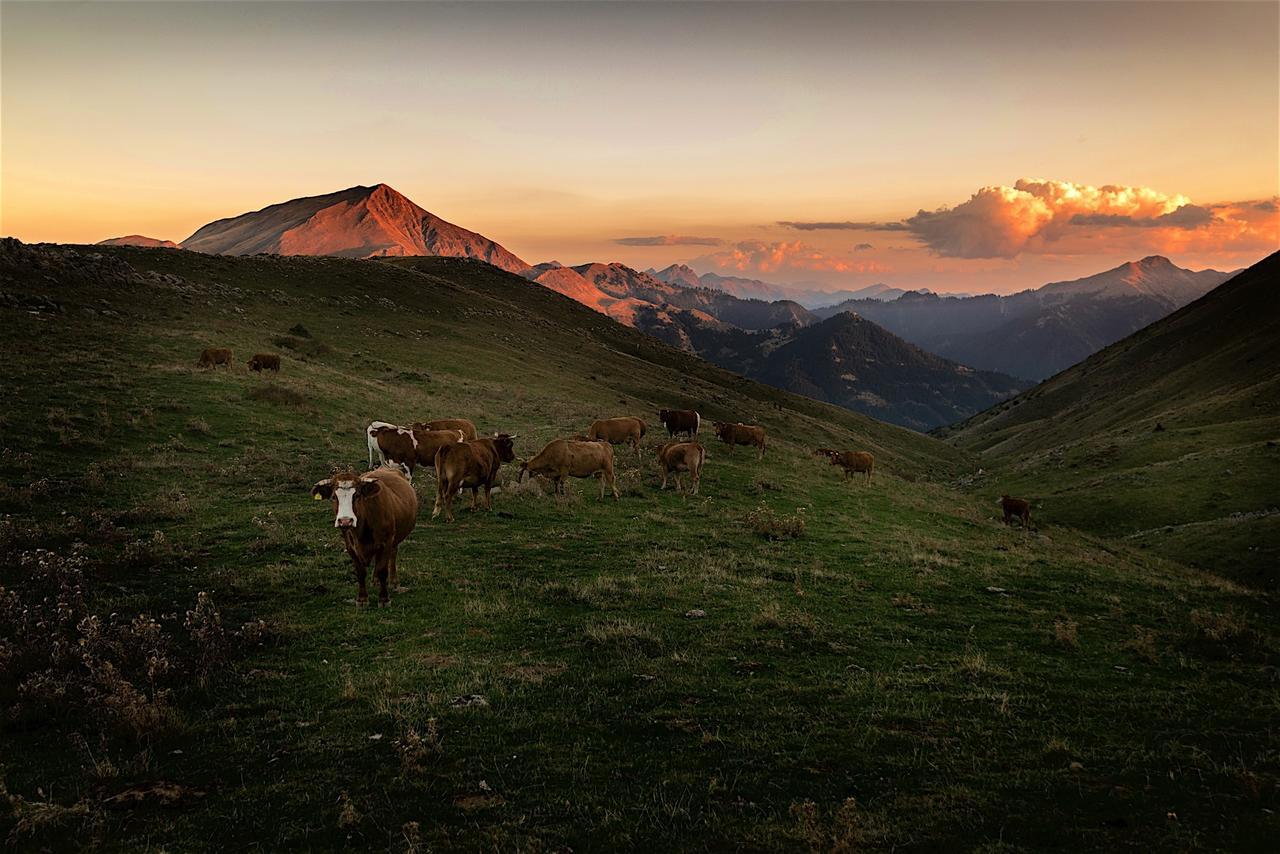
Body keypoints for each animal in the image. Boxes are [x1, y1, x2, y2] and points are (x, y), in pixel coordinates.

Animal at [309, 468, 414, 606]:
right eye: (334, 497)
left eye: (357, 496)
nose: (345, 521)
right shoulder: (350, 547)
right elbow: (360, 572)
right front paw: (362, 599)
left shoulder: (386, 542)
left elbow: (383, 570)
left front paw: (384, 599)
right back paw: (375, 580)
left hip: (394, 540)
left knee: (393, 555)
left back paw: (394, 582)